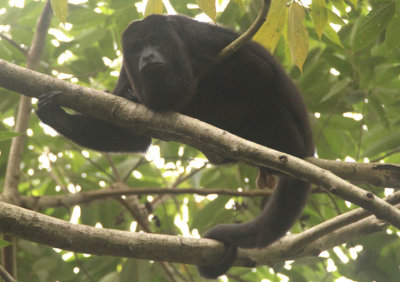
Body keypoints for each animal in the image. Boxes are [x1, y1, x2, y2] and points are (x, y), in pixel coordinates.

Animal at [36, 14, 314, 278]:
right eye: (137, 48)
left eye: (155, 41)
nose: (147, 56)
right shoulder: (128, 69)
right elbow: (133, 134)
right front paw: (57, 115)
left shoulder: (198, 37)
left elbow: (257, 69)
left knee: (270, 106)